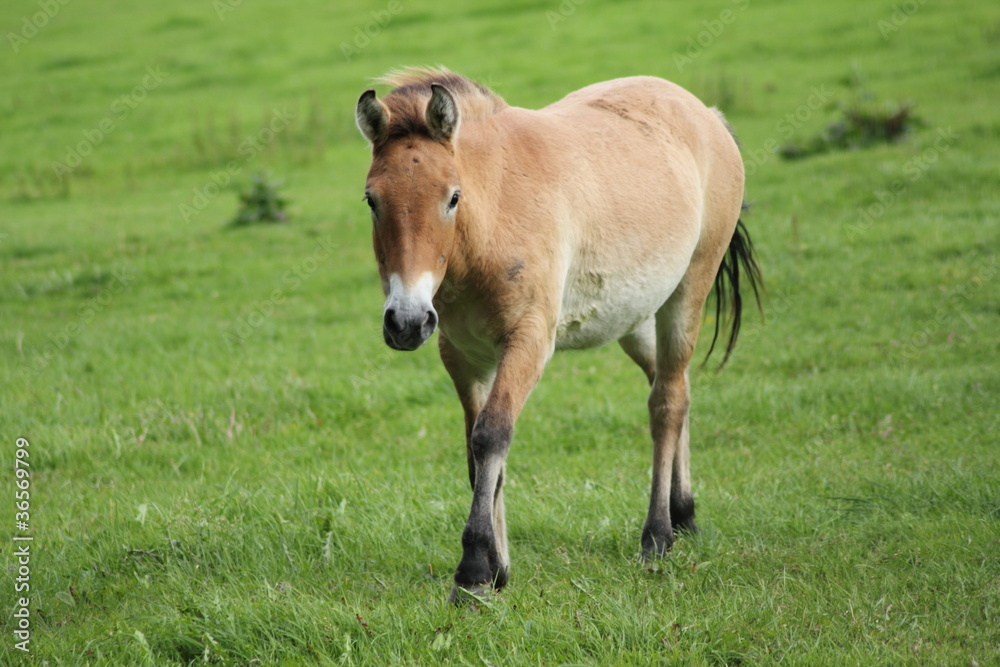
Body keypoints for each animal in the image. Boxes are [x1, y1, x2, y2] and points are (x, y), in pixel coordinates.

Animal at [356, 68, 760, 604]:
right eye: (372, 200)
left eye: (452, 197)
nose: (405, 321)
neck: (495, 214)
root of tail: (706, 114)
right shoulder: (462, 354)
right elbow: (477, 454)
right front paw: (499, 568)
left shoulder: (528, 342)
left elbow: (491, 435)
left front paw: (474, 572)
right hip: (635, 317)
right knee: (675, 388)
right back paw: (684, 514)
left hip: (687, 293)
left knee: (667, 402)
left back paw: (657, 535)